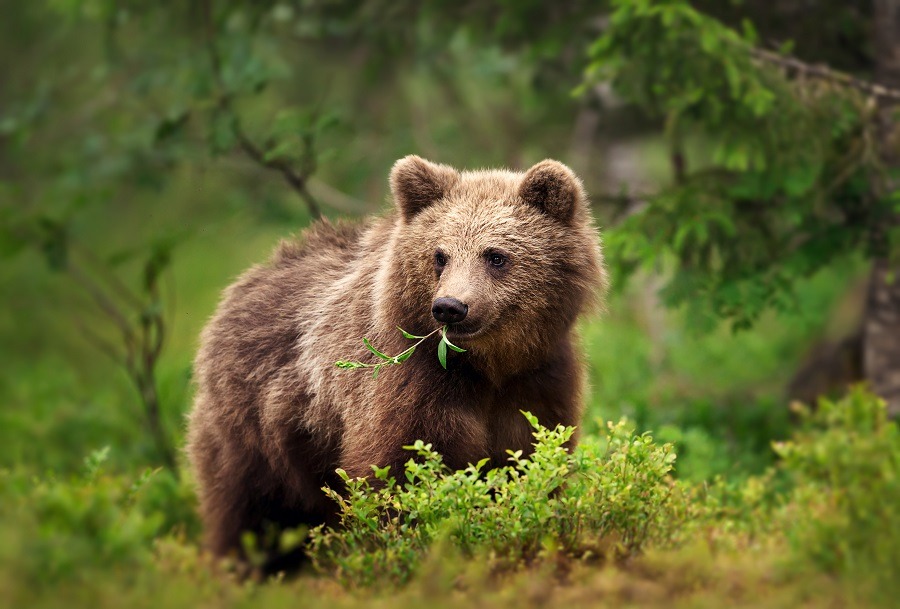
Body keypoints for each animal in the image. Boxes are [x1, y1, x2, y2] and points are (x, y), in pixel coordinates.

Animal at [185, 156, 604, 564]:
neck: (486, 366)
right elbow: (397, 472)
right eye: (440, 256)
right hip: (254, 427)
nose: (450, 307)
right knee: (248, 508)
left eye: (496, 256)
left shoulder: (537, 381)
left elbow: (529, 463)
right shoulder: (410, 384)